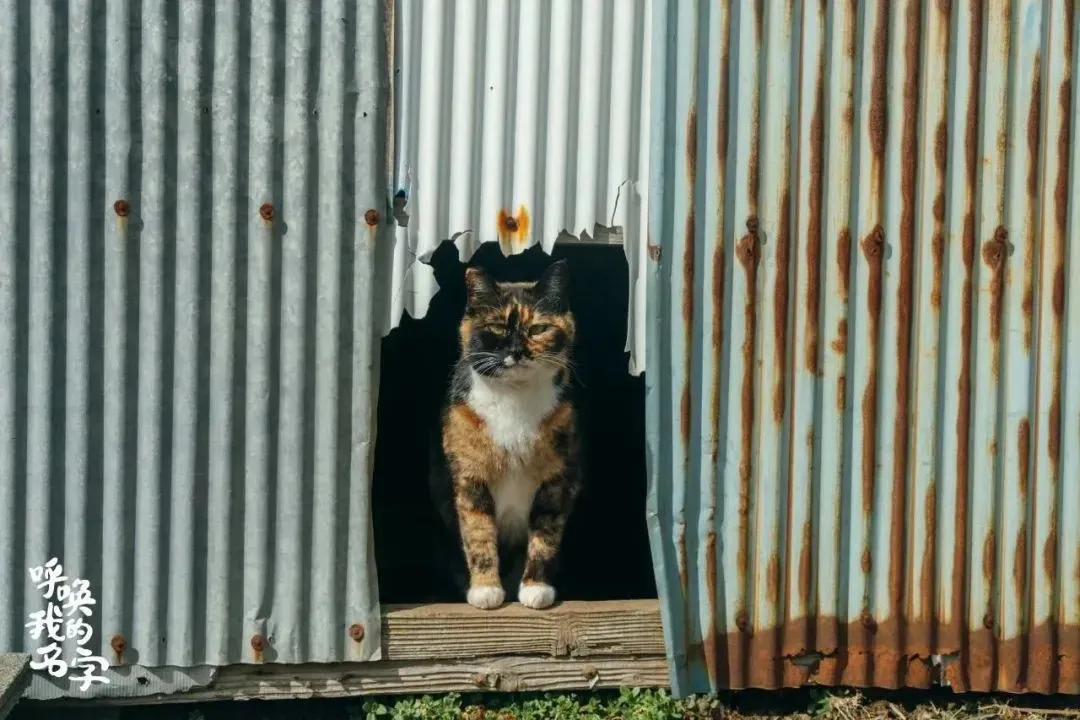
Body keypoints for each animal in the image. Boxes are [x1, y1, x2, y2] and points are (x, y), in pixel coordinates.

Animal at [427, 259, 583, 608]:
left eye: (537, 329)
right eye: (498, 328)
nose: (517, 351)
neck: (514, 397)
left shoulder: (558, 477)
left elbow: (546, 533)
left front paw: (536, 588)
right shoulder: (469, 476)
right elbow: (478, 532)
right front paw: (486, 590)